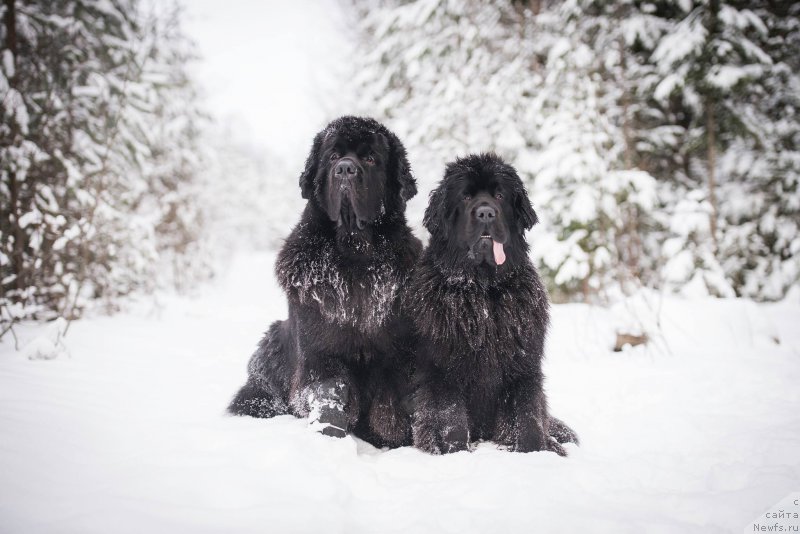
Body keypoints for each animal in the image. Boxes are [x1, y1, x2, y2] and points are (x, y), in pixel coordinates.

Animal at [228, 116, 422, 448]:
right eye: (333, 156)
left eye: (371, 158)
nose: (344, 169)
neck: (354, 253)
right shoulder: (320, 353)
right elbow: (328, 395)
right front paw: (329, 434)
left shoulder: (397, 355)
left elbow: (390, 411)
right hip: (272, 340)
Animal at [406, 154, 576, 456]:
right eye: (465, 196)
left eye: (499, 195)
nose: (486, 213)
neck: (482, 291)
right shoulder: (442, 369)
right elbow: (450, 418)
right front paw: (454, 451)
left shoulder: (523, 365)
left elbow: (526, 417)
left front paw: (535, 452)